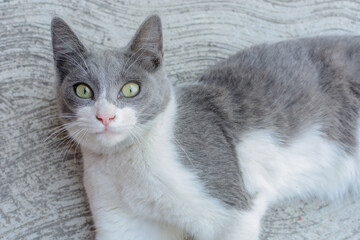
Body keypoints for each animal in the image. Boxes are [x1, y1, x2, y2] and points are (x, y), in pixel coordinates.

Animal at [50, 15, 360, 240]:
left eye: (130, 89)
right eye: (83, 90)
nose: (105, 116)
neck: (126, 168)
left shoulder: (232, 209)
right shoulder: (119, 220)